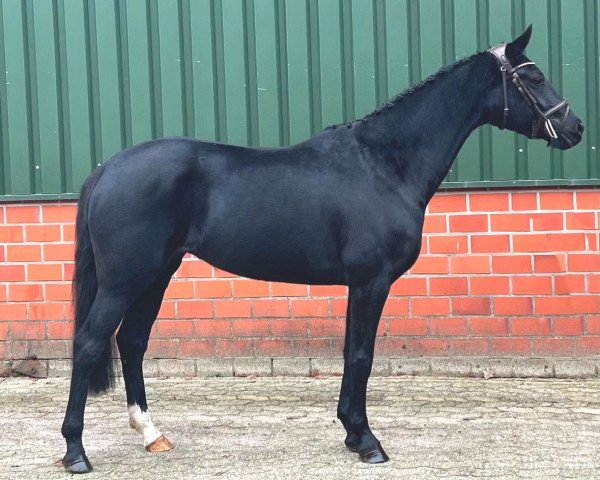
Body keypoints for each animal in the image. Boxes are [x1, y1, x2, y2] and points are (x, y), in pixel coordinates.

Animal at [62, 27, 580, 472]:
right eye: (535, 76)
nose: (573, 128)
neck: (385, 164)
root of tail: (108, 167)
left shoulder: (359, 285)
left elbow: (352, 351)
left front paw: (352, 434)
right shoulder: (372, 281)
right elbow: (362, 355)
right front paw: (368, 442)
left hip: (157, 273)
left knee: (132, 341)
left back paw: (152, 434)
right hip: (125, 280)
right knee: (89, 343)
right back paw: (75, 453)